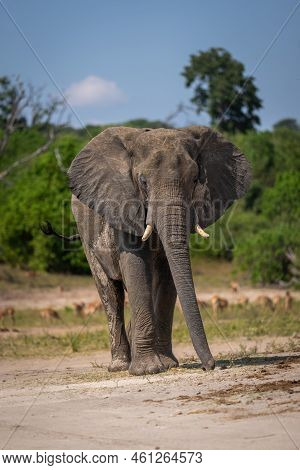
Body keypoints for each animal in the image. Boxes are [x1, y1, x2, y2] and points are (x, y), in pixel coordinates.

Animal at [66, 125, 251, 374]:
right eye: (143, 182)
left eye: (195, 180)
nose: (211, 366)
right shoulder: (125, 205)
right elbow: (135, 265)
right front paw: (147, 370)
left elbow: (167, 274)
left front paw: (167, 364)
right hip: (85, 236)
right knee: (109, 291)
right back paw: (120, 366)